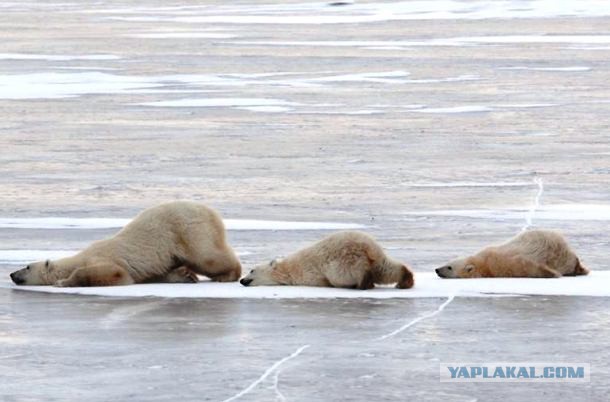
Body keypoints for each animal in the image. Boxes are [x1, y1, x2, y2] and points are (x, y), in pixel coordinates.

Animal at [8, 201, 240, 286]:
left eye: (26, 266)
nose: (11, 274)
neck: (76, 259)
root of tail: (210, 211)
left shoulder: (98, 259)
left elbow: (114, 272)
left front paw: (63, 282)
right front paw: (184, 276)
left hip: (188, 229)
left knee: (207, 256)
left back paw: (228, 275)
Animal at [238, 231, 414, 290]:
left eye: (252, 270)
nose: (242, 280)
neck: (288, 269)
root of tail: (366, 246)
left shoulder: (308, 274)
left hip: (344, 261)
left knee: (345, 276)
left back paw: (362, 284)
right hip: (377, 256)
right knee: (386, 269)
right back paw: (404, 281)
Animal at [434, 229, 588, 280]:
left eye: (449, 267)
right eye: (446, 263)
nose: (436, 269)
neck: (484, 264)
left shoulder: (508, 262)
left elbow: (530, 266)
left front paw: (553, 274)